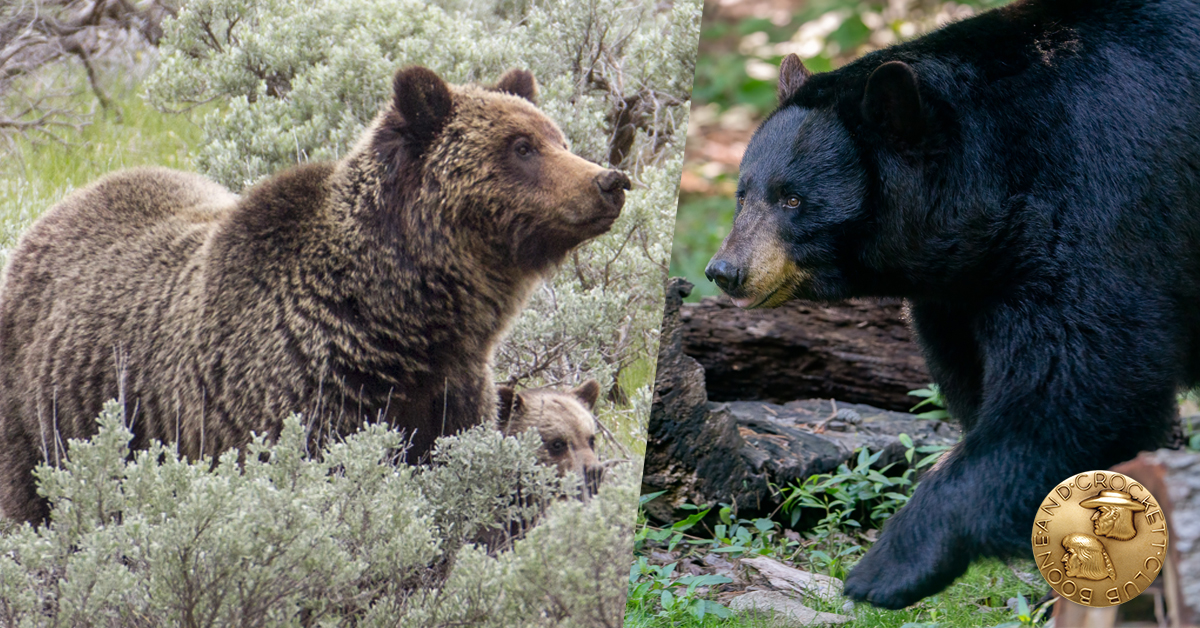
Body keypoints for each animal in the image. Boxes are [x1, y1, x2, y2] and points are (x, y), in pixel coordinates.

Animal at [0, 65, 630, 524]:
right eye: (521, 146)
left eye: (557, 137)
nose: (610, 180)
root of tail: (54, 212)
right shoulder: (296, 396)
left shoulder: (450, 394)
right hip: (42, 419)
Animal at [703, 0, 1200, 609]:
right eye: (743, 194)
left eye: (793, 199)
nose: (725, 271)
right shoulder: (963, 290)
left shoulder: (1105, 201)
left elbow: (1082, 385)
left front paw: (887, 567)